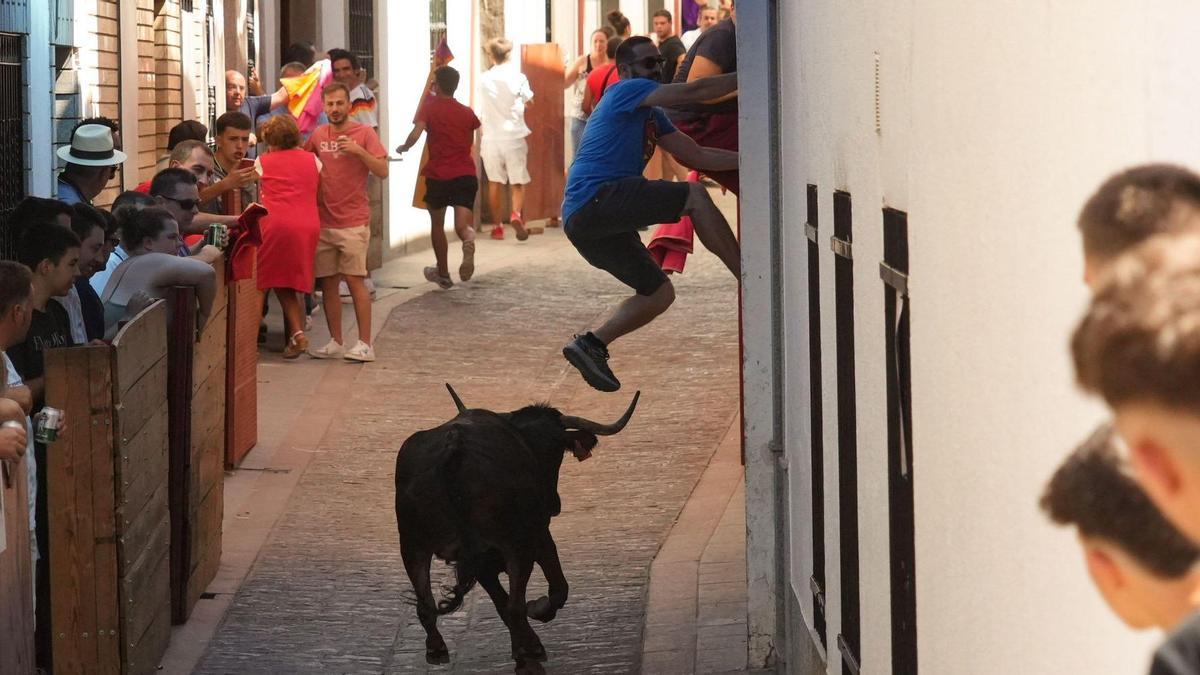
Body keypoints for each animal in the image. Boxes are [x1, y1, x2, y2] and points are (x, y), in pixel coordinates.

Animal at [393, 381, 638, 667]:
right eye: (556, 451)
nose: (554, 504)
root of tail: (455, 447)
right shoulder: (537, 535)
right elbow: (556, 589)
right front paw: (537, 614)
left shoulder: (481, 560)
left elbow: (501, 601)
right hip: (514, 544)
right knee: (517, 604)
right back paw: (529, 648)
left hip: (412, 545)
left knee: (426, 604)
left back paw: (437, 649)